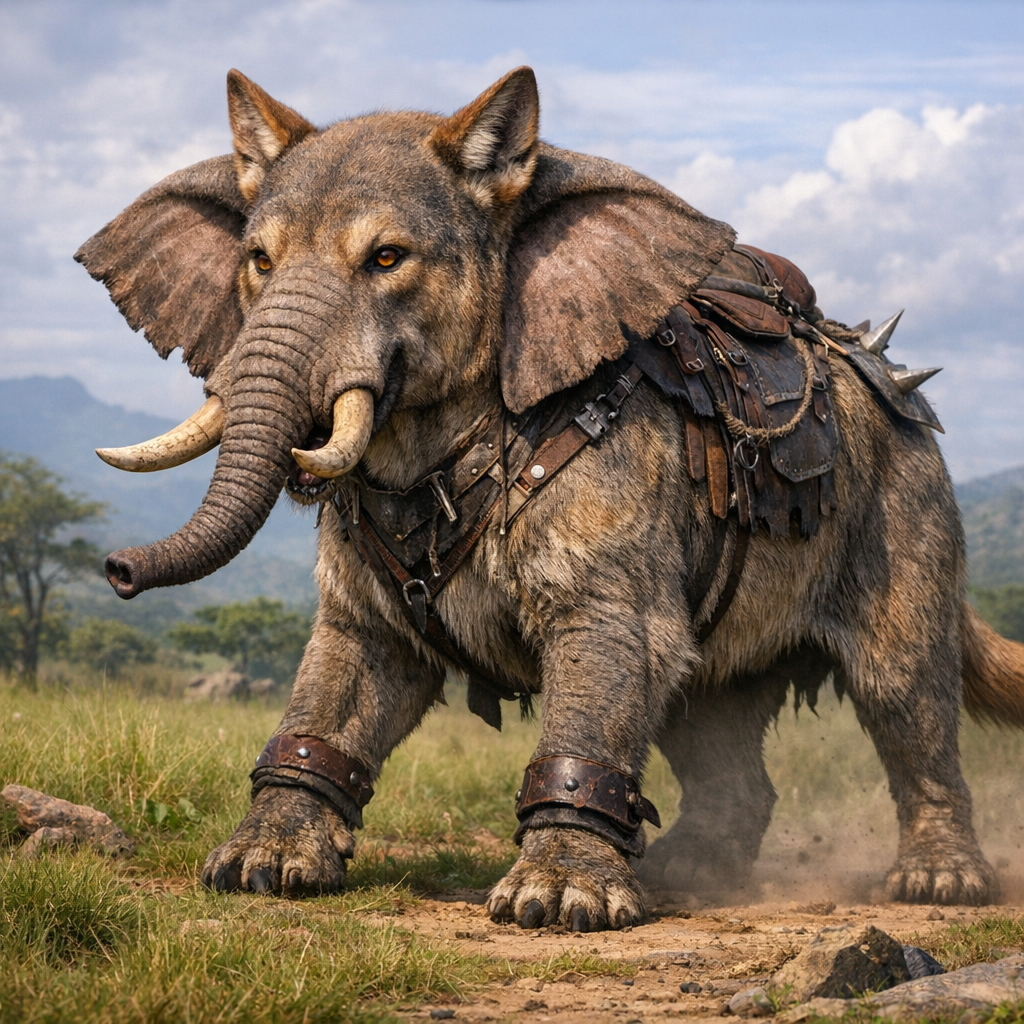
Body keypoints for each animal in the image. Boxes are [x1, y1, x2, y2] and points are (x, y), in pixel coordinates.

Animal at [77, 66, 1024, 930]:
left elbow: (609, 645)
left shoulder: (613, 483)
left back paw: (938, 884)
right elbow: (347, 670)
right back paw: (683, 875)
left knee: (905, 696)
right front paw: (259, 867)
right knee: (717, 736)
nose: (115, 570)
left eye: (386, 258)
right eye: (258, 261)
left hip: (905, 508)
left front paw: (560, 900)